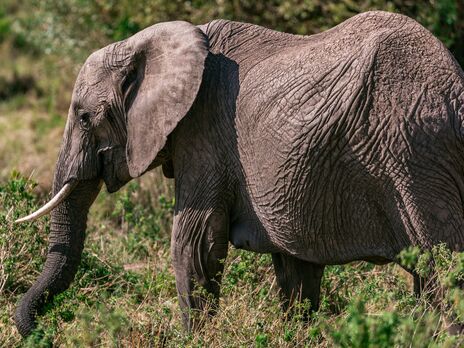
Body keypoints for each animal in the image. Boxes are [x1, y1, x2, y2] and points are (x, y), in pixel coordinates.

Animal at [12, 10, 464, 336]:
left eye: (84, 118)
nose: (42, 332)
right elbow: (296, 268)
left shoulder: (205, 131)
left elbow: (194, 241)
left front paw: (195, 339)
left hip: (416, 155)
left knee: (443, 269)